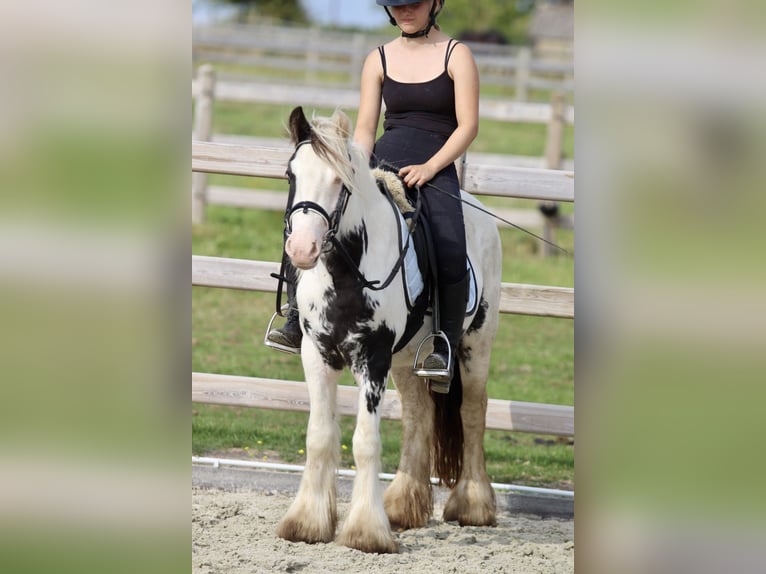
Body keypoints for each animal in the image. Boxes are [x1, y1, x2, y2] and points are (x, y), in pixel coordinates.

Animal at [276, 107, 504, 552]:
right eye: (290, 174)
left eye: (339, 180)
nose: (302, 250)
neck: (346, 273)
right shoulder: (317, 354)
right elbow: (319, 437)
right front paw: (307, 523)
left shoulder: (373, 357)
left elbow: (365, 442)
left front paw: (365, 532)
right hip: (407, 358)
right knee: (419, 414)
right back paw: (402, 507)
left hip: (475, 345)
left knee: (472, 412)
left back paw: (472, 505)